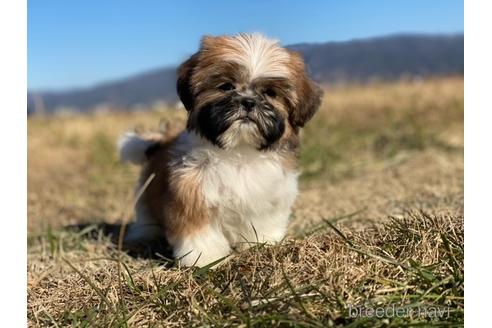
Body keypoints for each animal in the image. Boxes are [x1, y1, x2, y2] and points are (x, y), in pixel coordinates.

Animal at [117, 33, 320, 268]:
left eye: (270, 93)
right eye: (226, 86)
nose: (248, 102)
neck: (238, 152)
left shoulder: (270, 196)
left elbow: (264, 223)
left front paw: (264, 245)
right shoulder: (192, 192)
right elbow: (200, 233)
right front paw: (204, 260)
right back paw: (144, 235)